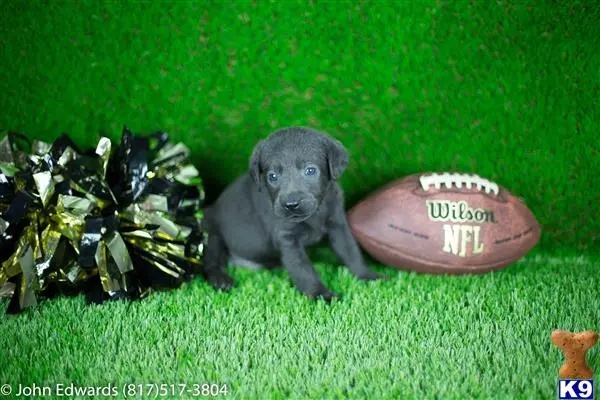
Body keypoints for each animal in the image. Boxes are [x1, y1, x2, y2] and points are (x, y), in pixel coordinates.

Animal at [202, 126, 384, 298]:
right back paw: (221, 280)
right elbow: (303, 270)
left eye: (310, 170)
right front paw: (321, 295)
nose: (291, 204)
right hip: (211, 235)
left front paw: (367, 275)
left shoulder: (338, 225)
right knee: (210, 264)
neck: (316, 214)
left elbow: (351, 251)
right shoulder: (288, 239)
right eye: (272, 176)